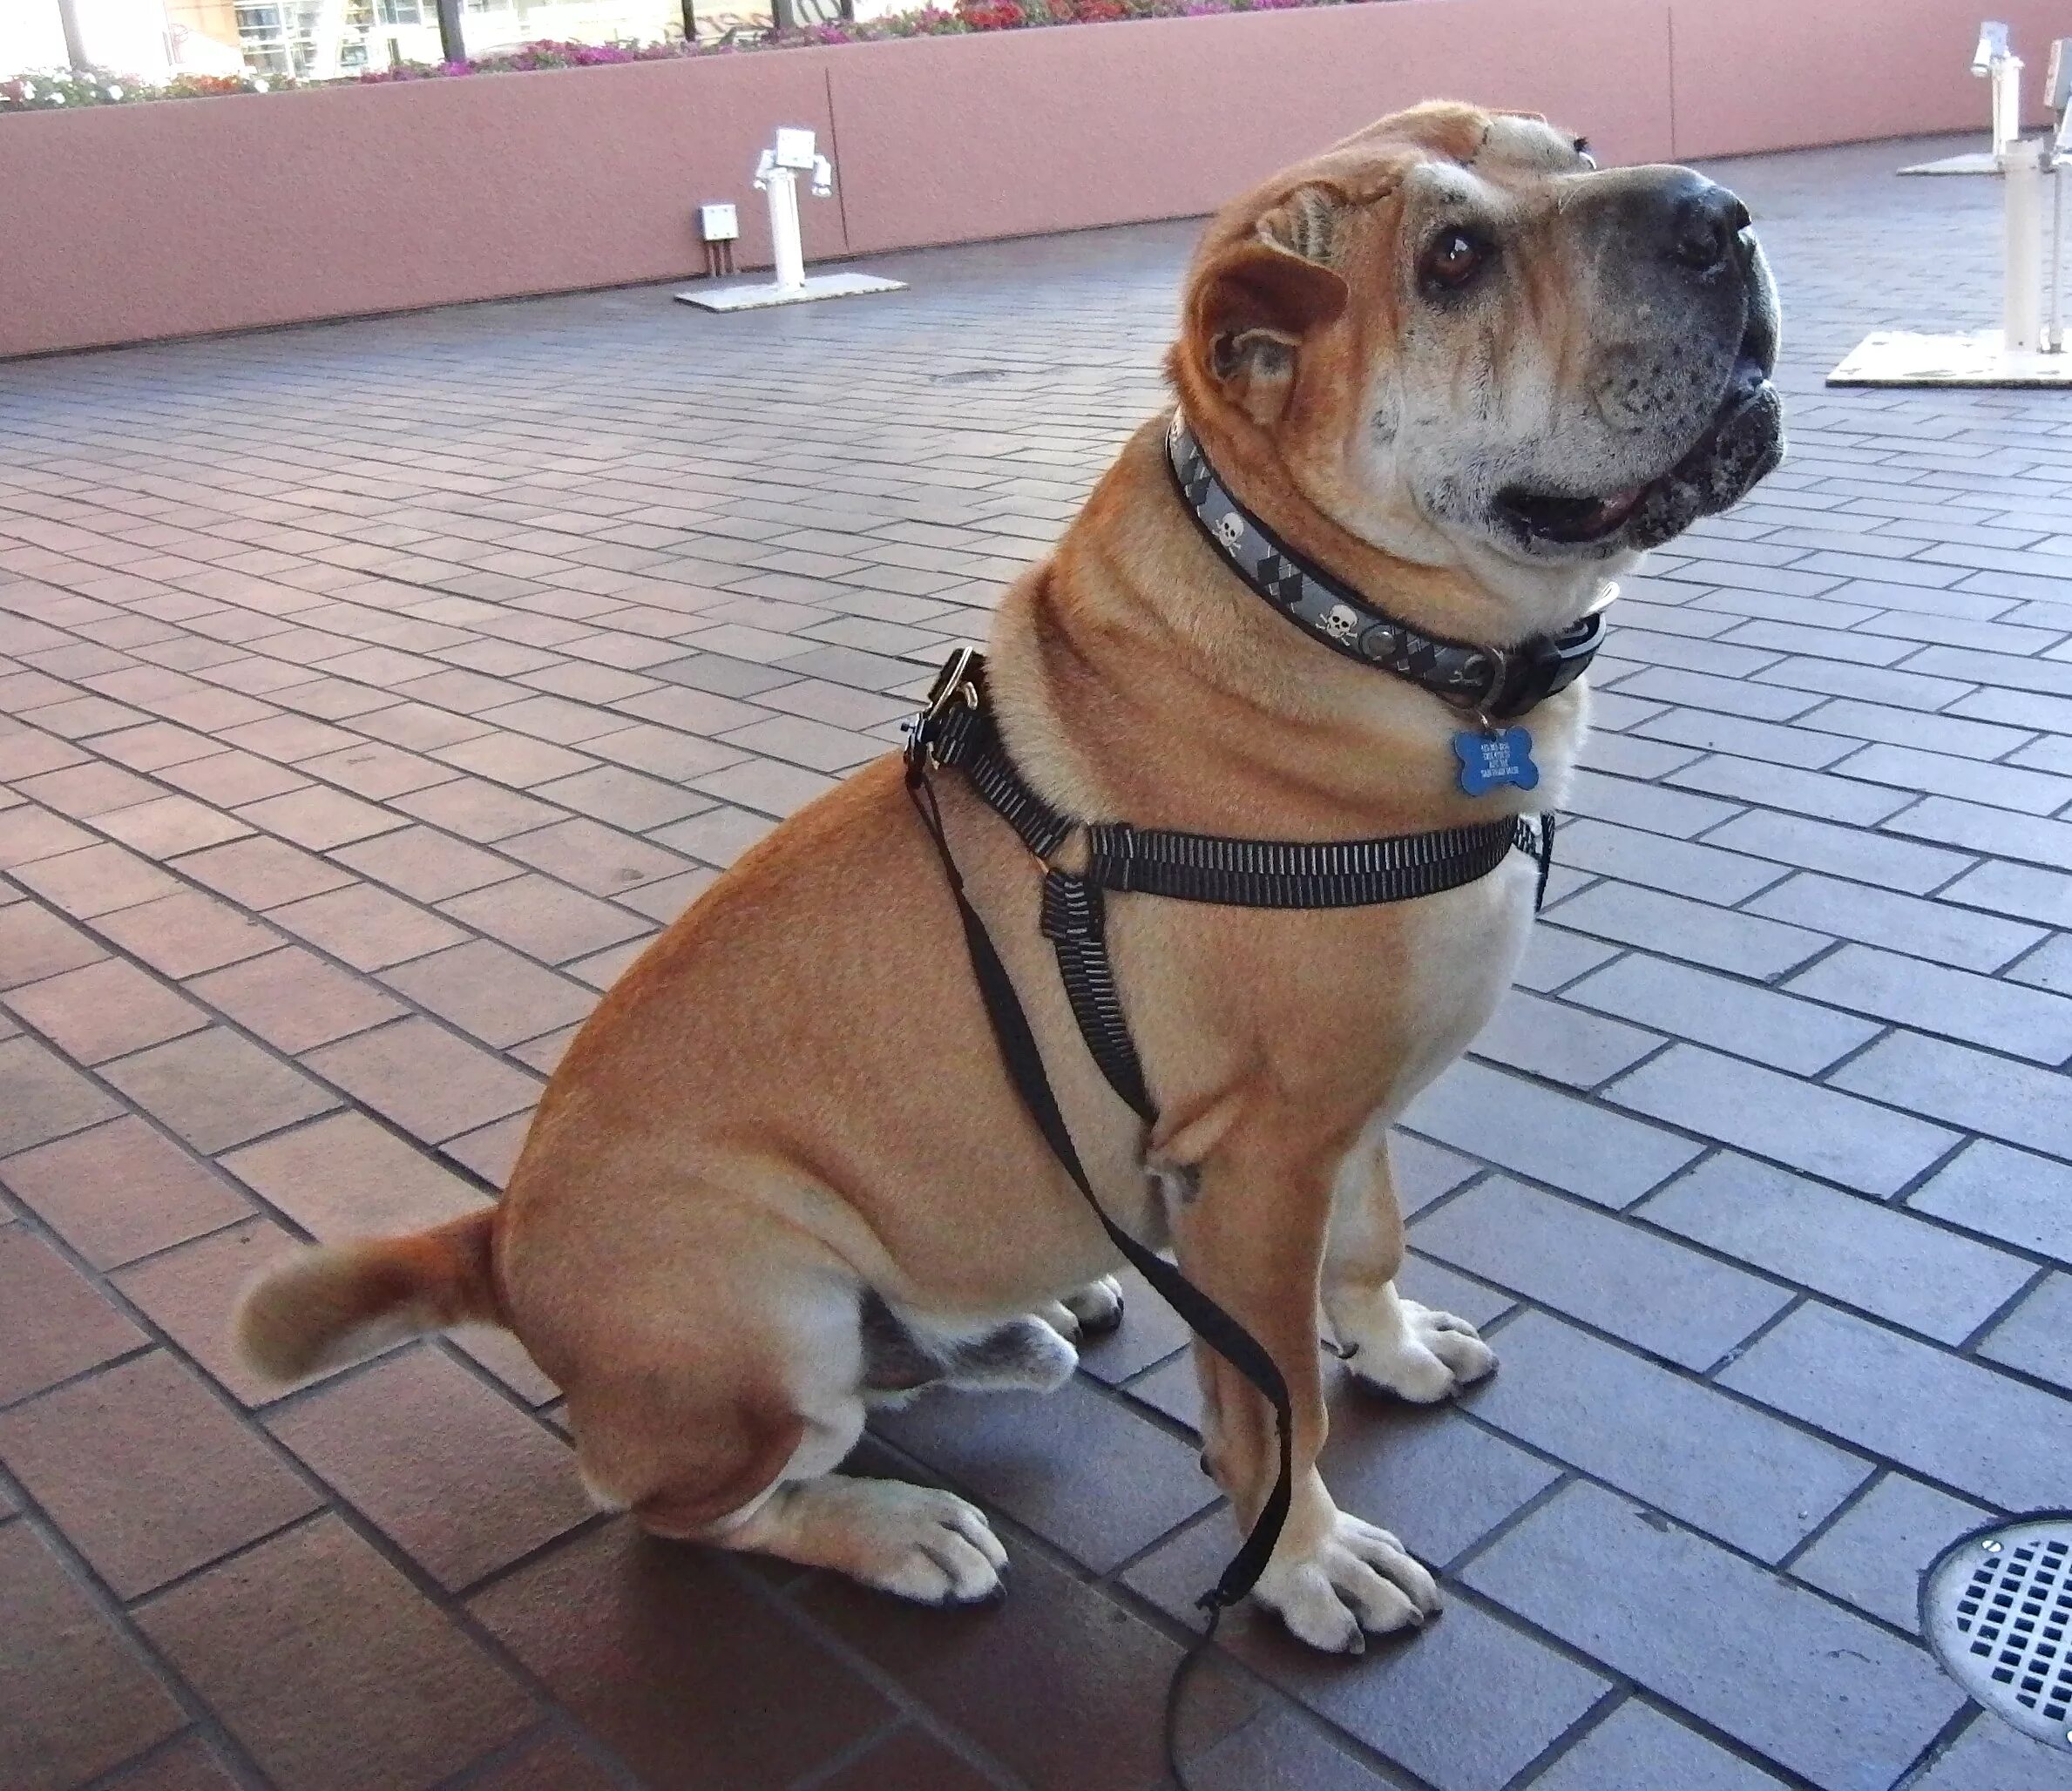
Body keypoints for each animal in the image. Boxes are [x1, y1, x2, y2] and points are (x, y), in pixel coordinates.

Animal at [231, 101, 1782, 1647]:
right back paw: (899, 1525)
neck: (1344, 620)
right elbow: (1273, 1402)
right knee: (681, 1496)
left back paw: (1024, 1324)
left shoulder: (1343, 1114)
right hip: (762, 1293)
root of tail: (496, 1239)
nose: (1719, 214)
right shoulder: (1258, 1161)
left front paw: (1391, 1346)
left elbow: (1372, 1240)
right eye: (1451, 260)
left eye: (1574, 152)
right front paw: (1304, 1559)